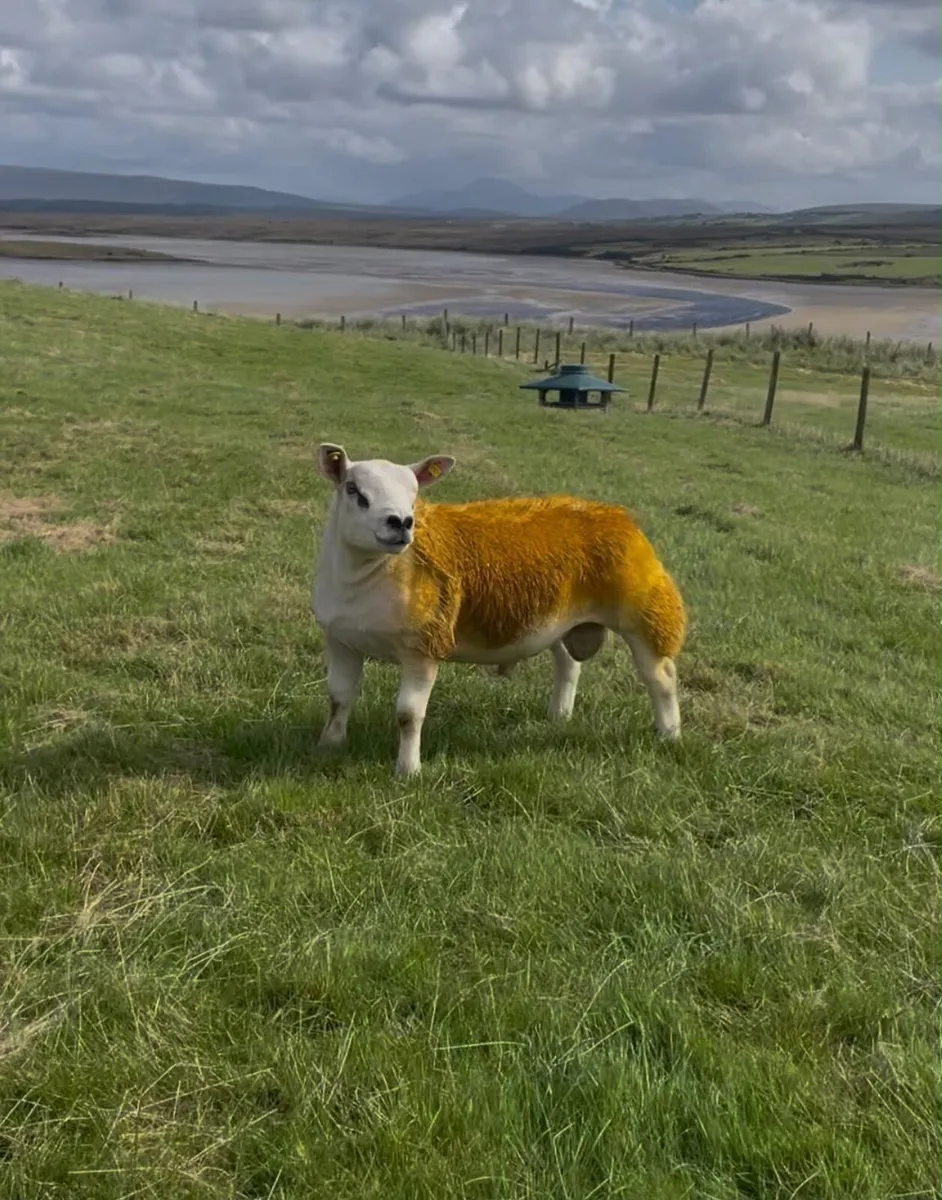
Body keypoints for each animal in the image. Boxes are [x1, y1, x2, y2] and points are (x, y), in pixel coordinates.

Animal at [311, 443, 686, 776]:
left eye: (414, 496)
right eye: (353, 490)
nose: (401, 522)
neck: (369, 576)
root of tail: (613, 515)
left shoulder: (424, 648)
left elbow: (408, 715)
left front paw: (408, 771)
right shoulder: (341, 641)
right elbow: (338, 697)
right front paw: (329, 745)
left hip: (645, 613)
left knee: (662, 677)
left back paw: (669, 734)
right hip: (560, 618)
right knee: (569, 664)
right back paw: (559, 715)